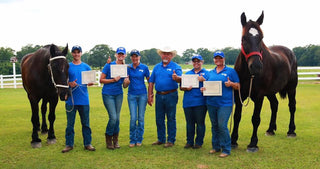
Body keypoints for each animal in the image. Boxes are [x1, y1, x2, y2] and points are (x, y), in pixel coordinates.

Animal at [231, 11, 298, 152]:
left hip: (291, 88)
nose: (256, 66)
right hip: (271, 92)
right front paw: (233, 141)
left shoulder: (259, 96)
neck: (248, 75)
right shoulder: (239, 95)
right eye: (244, 38)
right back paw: (270, 129)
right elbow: (237, 116)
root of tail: (290, 52)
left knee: (292, 106)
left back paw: (291, 131)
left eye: (261, 38)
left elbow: (255, 119)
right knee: (275, 105)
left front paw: (253, 144)